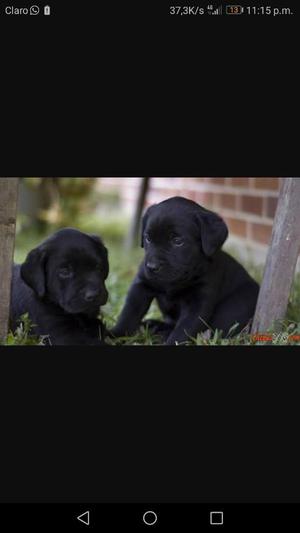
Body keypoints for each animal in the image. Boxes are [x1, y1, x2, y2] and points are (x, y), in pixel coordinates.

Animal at [111, 196, 258, 344]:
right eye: (148, 238)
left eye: (177, 241)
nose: (152, 266)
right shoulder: (141, 285)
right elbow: (129, 314)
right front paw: (114, 334)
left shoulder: (198, 302)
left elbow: (183, 330)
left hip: (234, 306)